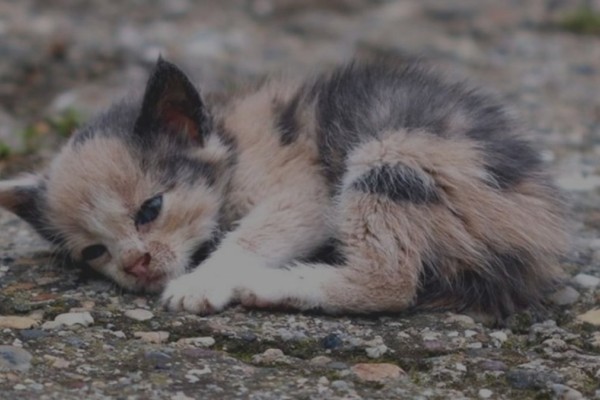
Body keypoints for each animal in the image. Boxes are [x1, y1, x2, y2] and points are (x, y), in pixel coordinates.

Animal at [0, 57, 568, 318]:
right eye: (94, 252)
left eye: (151, 208)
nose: (135, 265)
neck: (231, 142)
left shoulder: (304, 192)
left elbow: (249, 237)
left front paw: (202, 282)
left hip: (392, 154)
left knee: (389, 282)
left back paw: (272, 285)